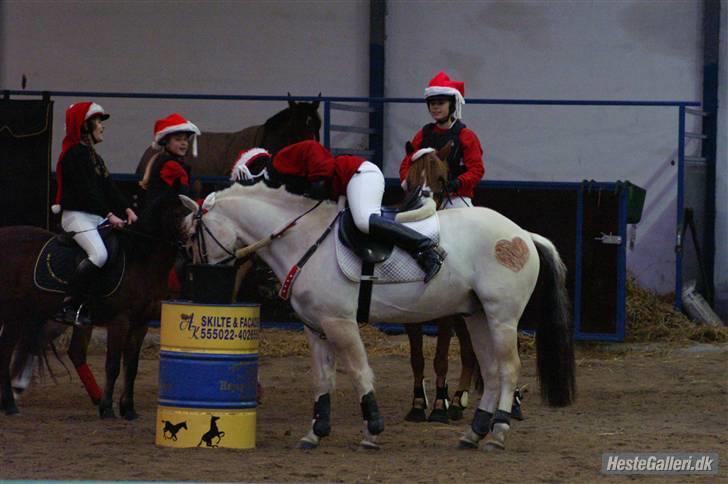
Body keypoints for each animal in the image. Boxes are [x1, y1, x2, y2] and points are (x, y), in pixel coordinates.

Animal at [1, 191, 189, 418]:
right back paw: (11, 402)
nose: (188, 250)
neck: (139, 258)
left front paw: (128, 409)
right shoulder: (120, 321)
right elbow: (113, 365)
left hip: (28, 313)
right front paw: (107, 408)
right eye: (178, 214)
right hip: (15, 314)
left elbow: (131, 367)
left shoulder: (140, 324)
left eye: (192, 212)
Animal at [181, 176, 576, 452]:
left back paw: (498, 434)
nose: (197, 285)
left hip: (501, 317)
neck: (304, 240)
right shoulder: (315, 328)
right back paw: (474, 432)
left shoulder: (340, 323)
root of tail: (522, 233)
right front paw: (315, 432)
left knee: (508, 369)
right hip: (476, 316)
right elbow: (321, 379)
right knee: (492, 372)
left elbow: (359, 373)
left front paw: (372, 430)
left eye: (191, 235)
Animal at [396, 141, 480, 424]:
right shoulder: (409, 315)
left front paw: (439, 406)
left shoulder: (446, 316)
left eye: (442, 179)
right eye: (409, 180)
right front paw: (418, 404)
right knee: (469, 353)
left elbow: (441, 357)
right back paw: (457, 400)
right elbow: (417, 358)